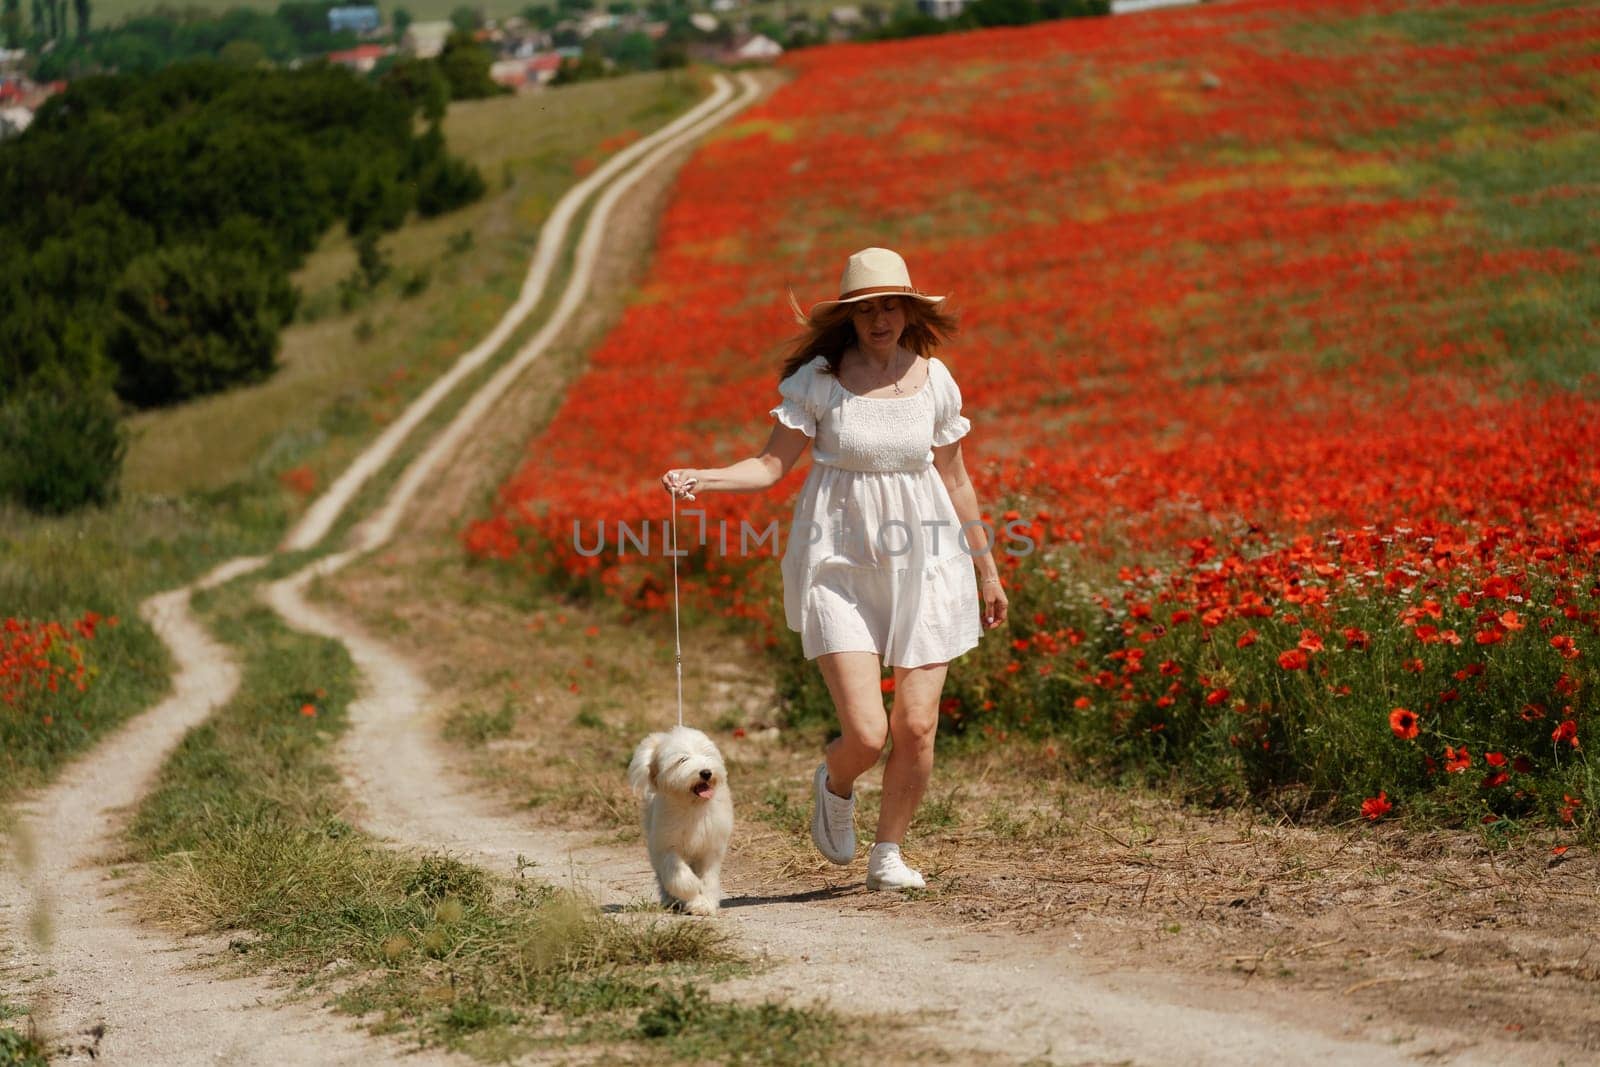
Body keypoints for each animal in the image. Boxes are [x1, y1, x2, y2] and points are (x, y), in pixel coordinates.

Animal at [627, 726, 732, 921]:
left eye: (707, 754)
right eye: (683, 759)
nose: (706, 772)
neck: (692, 807)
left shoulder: (710, 848)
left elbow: (709, 878)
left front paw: (704, 904)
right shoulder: (666, 844)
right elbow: (677, 873)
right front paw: (692, 888)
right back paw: (670, 900)